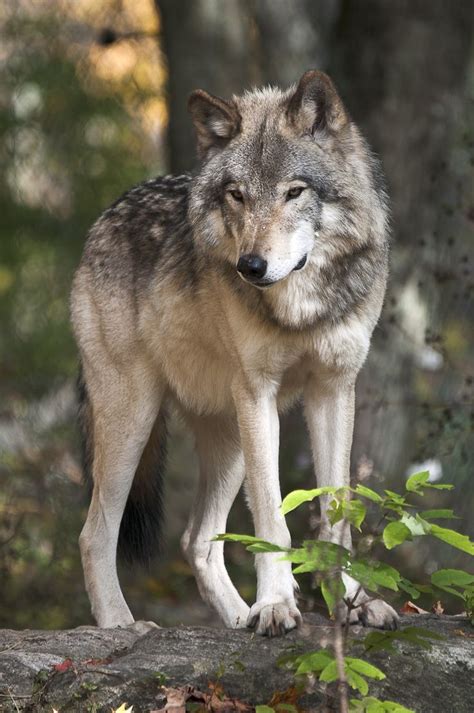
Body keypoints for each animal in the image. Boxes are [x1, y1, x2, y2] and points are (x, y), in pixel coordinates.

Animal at [71, 69, 396, 636]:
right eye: (237, 196)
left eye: (294, 192)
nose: (251, 266)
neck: (300, 308)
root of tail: (106, 216)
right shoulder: (258, 393)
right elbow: (271, 518)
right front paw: (275, 606)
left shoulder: (334, 389)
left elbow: (337, 516)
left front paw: (354, 604)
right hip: (134, 416)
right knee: (96, 535)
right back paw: (123, 626)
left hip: (227, 439)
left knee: (196, 540)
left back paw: (238, 617)